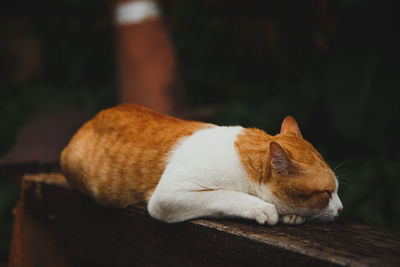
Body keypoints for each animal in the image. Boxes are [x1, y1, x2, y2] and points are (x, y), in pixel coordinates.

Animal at [61, 104, 342, 226]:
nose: (340, 209)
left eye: (336, 191)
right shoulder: (166, 197)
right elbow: (225, 195)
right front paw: (262, 208)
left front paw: (292, 215)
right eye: (327, 192)